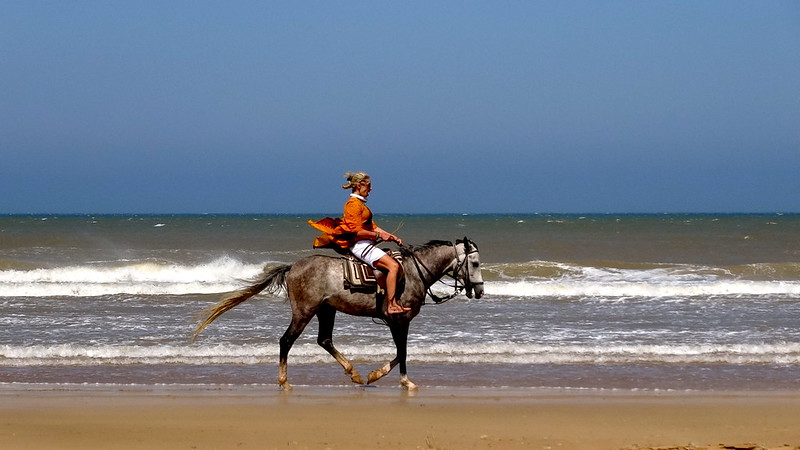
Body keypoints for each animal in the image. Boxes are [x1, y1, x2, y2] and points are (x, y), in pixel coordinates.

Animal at [194, 239, 484, 390]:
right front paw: (404, 381)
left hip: (326, 310)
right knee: (286, 341)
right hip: (305, 311)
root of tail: (293, 267)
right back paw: (284, 381)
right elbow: (402, 352)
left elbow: (398, 352)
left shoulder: (396, 322)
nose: (480, 290)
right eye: (475, 263)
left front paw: (373, 375)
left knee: (324, 340)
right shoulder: (398, 320)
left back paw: (353, 372)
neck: (413, 272)